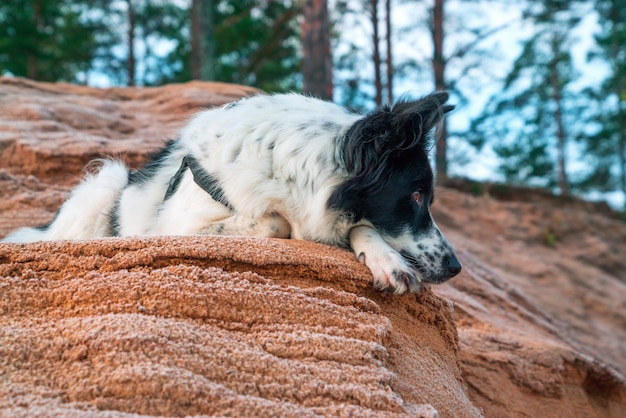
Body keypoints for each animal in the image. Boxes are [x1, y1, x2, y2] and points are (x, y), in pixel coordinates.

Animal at [3, 91, 458, 294]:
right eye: (416, 196)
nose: (455, 267)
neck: (288, 166)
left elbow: (358, 227)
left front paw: (385, 259)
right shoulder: (178, 227)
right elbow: (274, 223)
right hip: (107, 181)